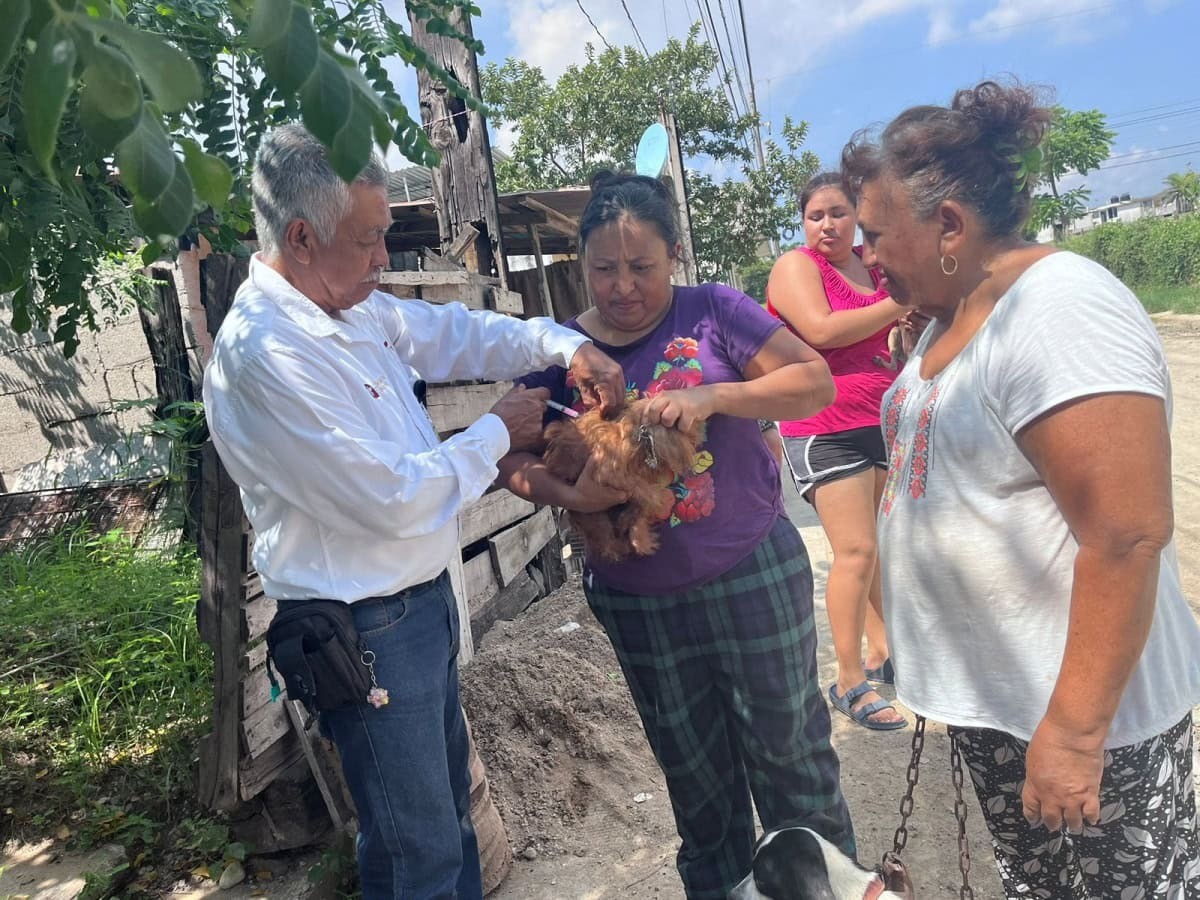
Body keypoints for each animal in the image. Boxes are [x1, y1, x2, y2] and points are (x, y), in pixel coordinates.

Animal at [542, 398, 700, 561]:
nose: (697, 424)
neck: (638, 437)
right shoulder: (609, 473)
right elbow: (645, 492)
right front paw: (658, 500)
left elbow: (641, 505)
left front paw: (637, 530)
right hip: (592, 516)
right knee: (608, 543)